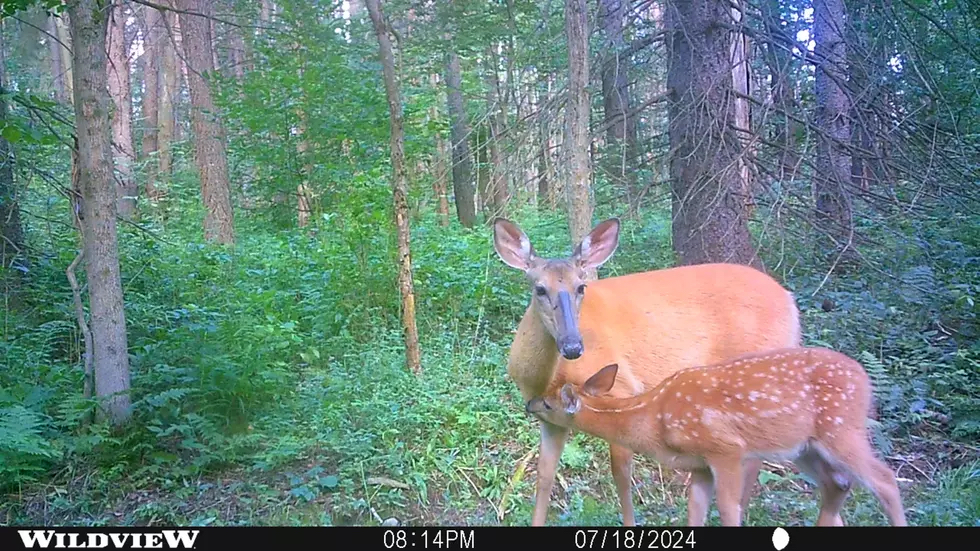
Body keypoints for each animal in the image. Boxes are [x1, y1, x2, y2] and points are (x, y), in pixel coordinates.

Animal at [492, 217, 850, 526]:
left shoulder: (621, 389)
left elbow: (621, 473)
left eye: (581, 287)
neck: (546, 378)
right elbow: (544, 476)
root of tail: (791, 303)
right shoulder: (550, 416)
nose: (573, 346)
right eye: (539, 289)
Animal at [524, 347, 908, 527]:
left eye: (549, 401)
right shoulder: (699, 465)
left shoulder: (726, 449)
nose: (529, 404)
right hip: (805, 449)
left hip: (841, 428)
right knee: (838, 483)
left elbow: (728, 509)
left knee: (885, 479)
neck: (655, 418)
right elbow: (695, 511)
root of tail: (865, 380)